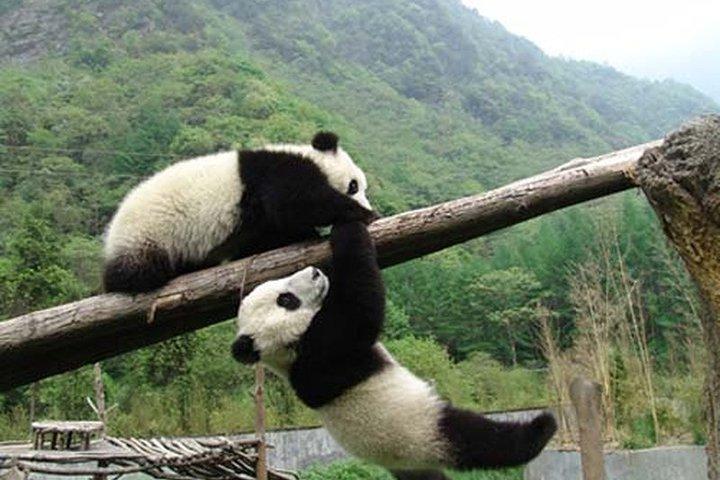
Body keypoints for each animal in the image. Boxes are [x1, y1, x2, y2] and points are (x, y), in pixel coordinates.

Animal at [103, 131, 377, 293]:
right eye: (354, 186)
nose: (369, 205)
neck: (310, 157)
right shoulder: (277, 173)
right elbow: (298, 203)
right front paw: (363, 214)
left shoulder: (258, 223)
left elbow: (268, 235)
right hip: (146, 236)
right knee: (136, 273)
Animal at [231, 222, 557, 480]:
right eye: (286, 299)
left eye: (279, 288)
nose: (314, 272)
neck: (285, 352)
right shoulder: (326, 352)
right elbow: (363, 310)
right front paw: (347, 229)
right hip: (422, 429)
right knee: (481, 441)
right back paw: (540, 429)